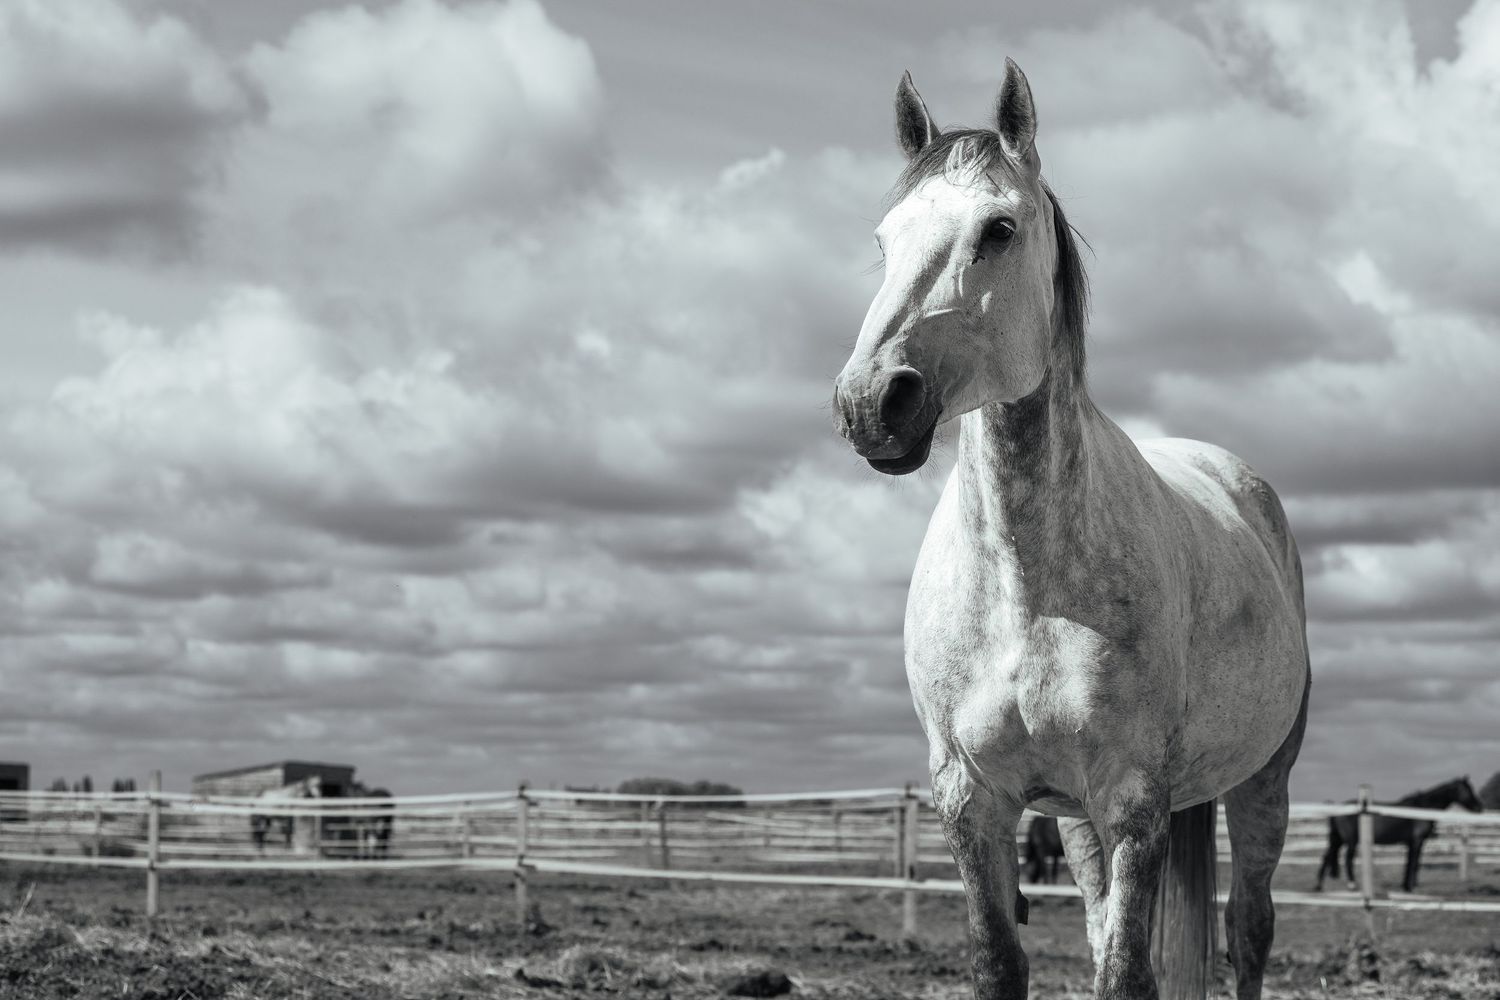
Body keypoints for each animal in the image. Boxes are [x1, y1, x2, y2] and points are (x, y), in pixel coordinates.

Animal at [833, 61, 1310, 1000]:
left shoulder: (1132, 801)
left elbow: (1127, 973)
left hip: (1262, 783)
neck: (1023, 587)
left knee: (1249, 931)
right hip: (1079, 819)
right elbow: (1003, 960)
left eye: (999, 229)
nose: (872, 404)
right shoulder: (972, 801)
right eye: (884, 239)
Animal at [1315, 776, 1483, 893]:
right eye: (1468, 790)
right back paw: (1352, 885)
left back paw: (1319, 886)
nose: (1479, 808)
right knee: (1348, 859)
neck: (1421, 808)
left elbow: (1409, 863)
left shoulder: (1410, 843)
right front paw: (1409, 888)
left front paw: (1405, 886)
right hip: (1350, 841)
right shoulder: (1417, 841)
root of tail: (1338, 809)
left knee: (1326, 857)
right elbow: (1414, 864)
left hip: (1338, 840)